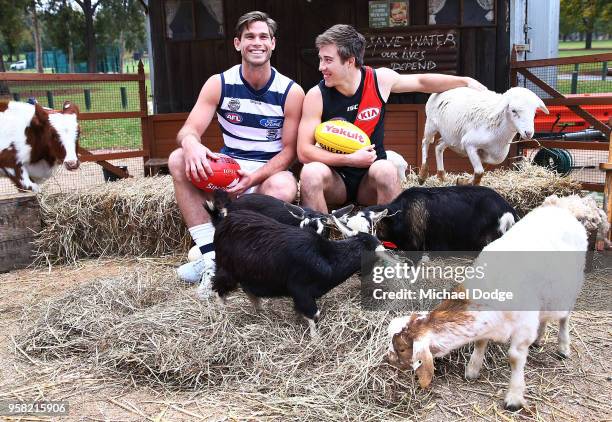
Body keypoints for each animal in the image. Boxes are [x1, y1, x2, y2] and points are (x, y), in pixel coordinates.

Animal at [388, 204, 588, 408]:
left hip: (570, 286)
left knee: (564, 317)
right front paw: (472, 370)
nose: (389, 360)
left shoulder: (523, 326)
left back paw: (563, 347)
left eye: (402, 349)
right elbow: (480, 342)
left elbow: (515, 357)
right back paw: (539, 339)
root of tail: (560, 208)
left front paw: (514, 397)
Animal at [418, 85, 548, 185]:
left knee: (438, 146)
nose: (528, 133)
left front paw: (463, 180)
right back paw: (422, 175)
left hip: (451, 136)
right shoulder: (468, 143)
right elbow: (479, 172)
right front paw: (466, 182)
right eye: (513, 111)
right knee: (425, 142)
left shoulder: (494, 153)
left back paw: (441, 176)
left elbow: (489, 162)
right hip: (431, 124)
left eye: (534, 112)